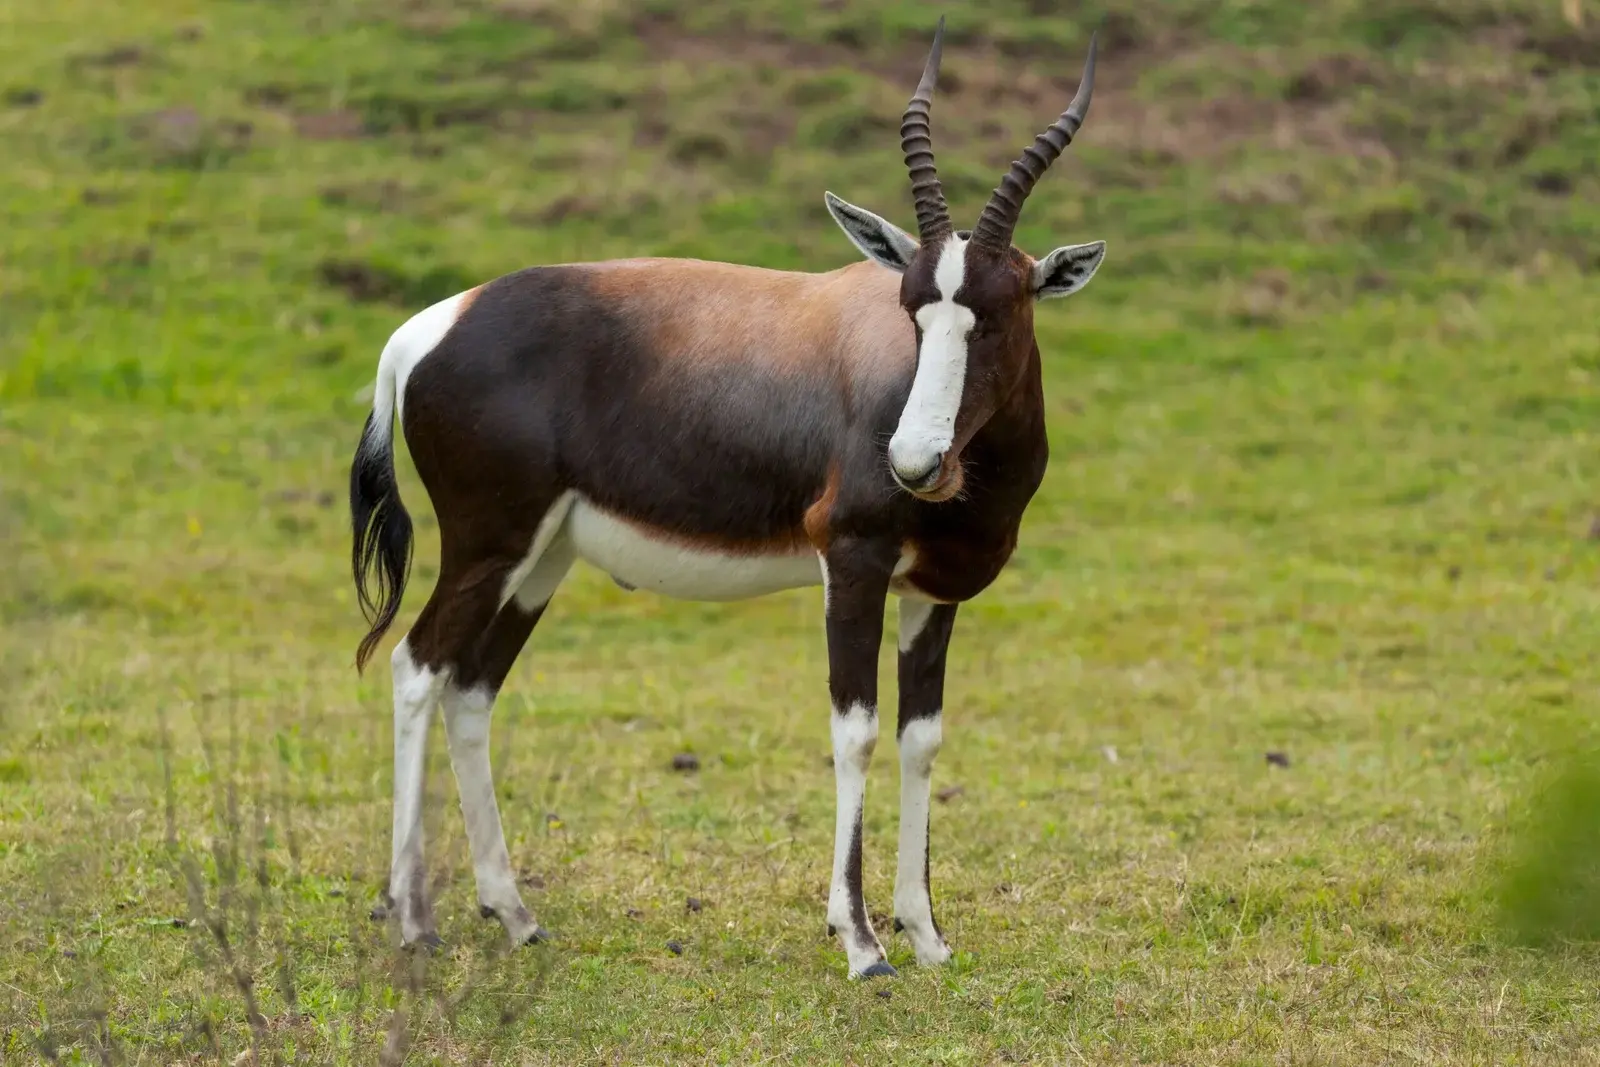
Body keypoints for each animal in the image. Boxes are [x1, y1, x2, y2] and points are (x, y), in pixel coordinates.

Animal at [349, 17, 1106, 979]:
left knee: (470, 688)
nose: (914, 460)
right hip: (490, 544)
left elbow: (921, 737)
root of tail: (426, 330)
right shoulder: (852, 563)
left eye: (998, 313)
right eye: (911, 306)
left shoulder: (932, 594)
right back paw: (415, 921)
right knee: (417, 667)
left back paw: (514, 912)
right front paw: (862, 943)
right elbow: (857, 730)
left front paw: (927, 933)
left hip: (542, 558)